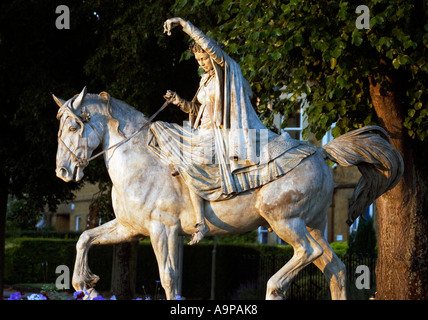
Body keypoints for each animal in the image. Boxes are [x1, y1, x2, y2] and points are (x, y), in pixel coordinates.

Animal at [54, 87, 404, 300]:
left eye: (73, 127)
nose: (63, 172)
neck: (141, 161)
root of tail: (319, 152)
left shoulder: (161, 229)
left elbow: (167, 276)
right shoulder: (131, 228)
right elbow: (85, 238)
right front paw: (83, 283)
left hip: (285, 222)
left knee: (308, 253)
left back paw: (274, 288)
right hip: (313, 225)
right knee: (336, 270)